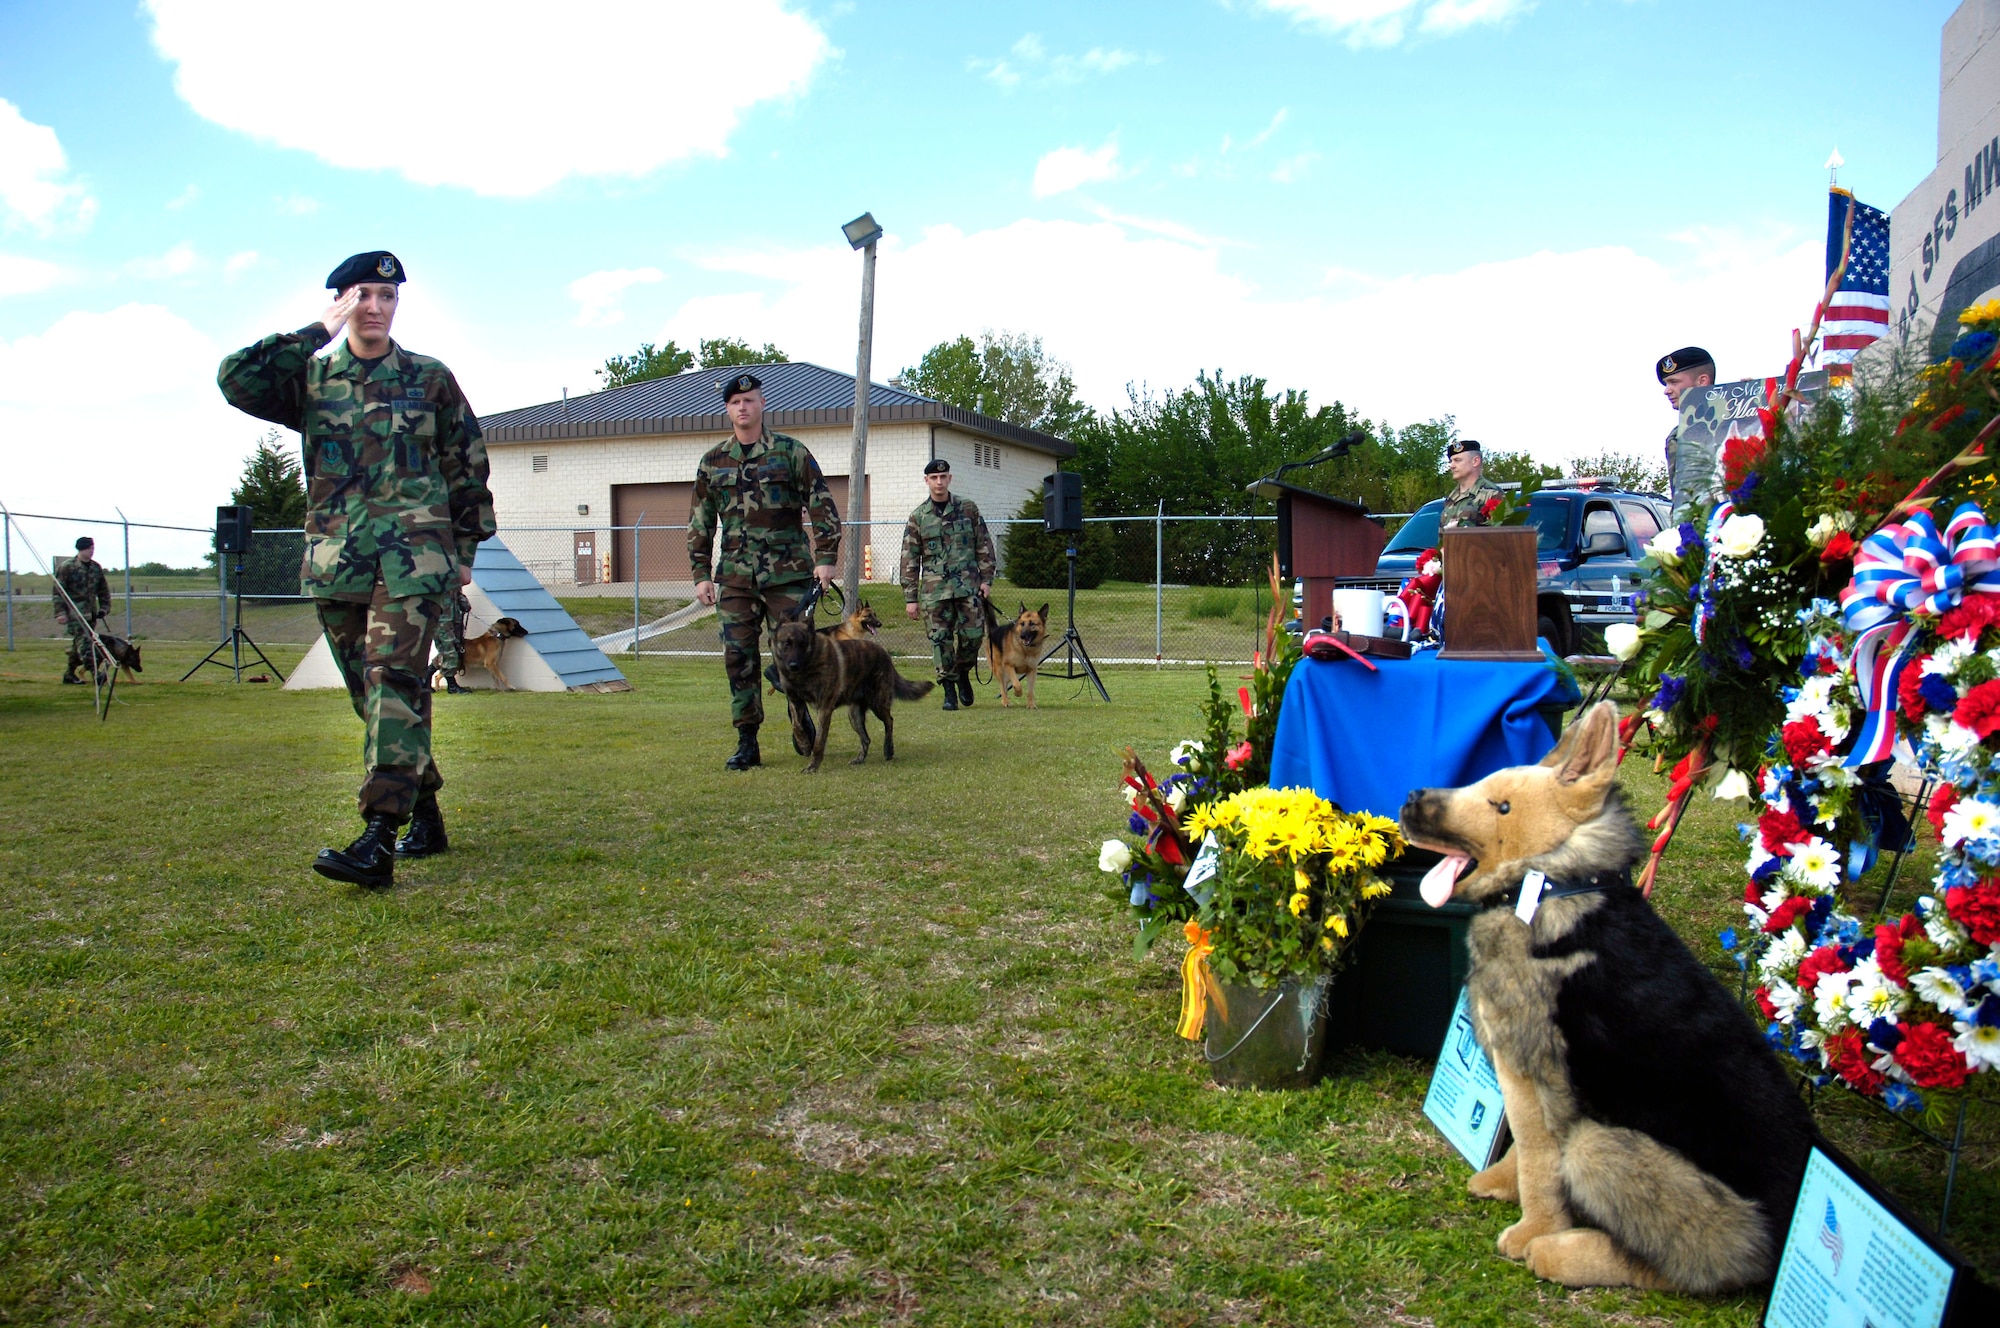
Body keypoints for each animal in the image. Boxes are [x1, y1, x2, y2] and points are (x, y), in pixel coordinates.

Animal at [768, 616, 932, 772]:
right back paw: (860, 758)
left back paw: (888, 750)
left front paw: (812, 766)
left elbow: (819, 742)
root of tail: (885, 654)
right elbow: (796, 725)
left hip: (878, 704)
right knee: (866, 738)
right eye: (787, 643)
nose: (793, 666)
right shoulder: (795, 702)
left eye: (803, 644)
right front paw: (804, 745)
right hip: (854, 715)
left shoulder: (824, 709)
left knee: (889, 721)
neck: (806, 670)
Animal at [1392, 700, 1816, 1288]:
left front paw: (1533, 1227)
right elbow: (1526, 1149)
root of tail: (1781, 1245)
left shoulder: (1533, 1073)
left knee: (1677, 1269)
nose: (1411, 797)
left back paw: (1560, 1251)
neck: (1550, 885)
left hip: (1602, 1146)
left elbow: (1540, 1159)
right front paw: (1502, 1182)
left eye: (1502, 806)